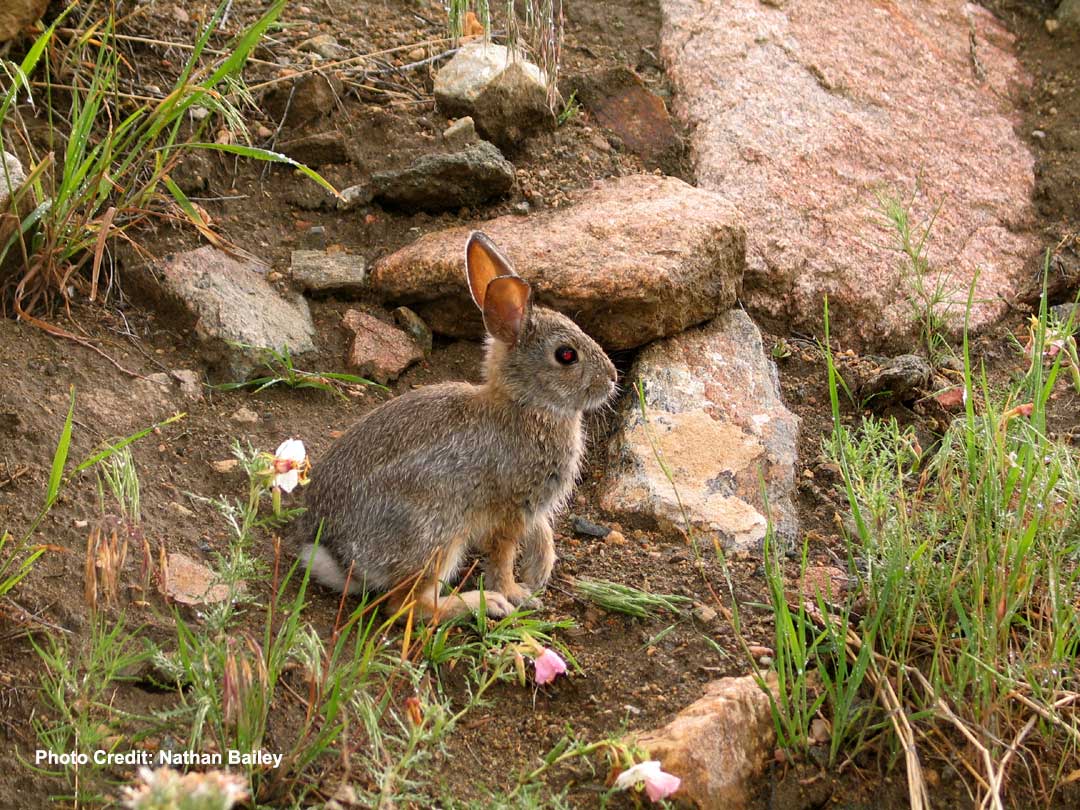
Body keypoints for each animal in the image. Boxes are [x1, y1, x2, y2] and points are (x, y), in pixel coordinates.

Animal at [295, 231, 622, 626]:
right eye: (566, 355)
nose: (612, 378)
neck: (526, 404)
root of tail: (337, 556)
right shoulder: (510, 510)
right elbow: (502, 556)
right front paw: (516, 593)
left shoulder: (532, 512)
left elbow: (541, 532)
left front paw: (540, 570)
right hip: (436, 534)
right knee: (406, 606)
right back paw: (482, 604)